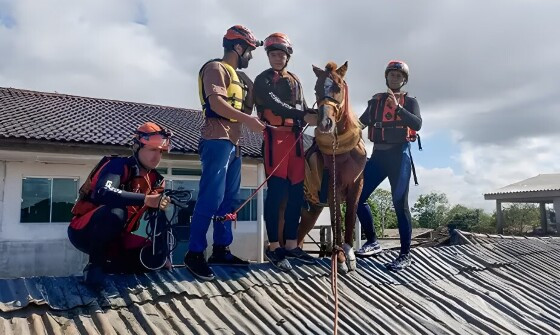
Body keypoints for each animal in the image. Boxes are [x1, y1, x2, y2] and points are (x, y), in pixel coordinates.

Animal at [298, 61, 368, 274]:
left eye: (338, 87)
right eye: (316, 89)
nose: (324, 123)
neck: (343, 150)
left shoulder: (357, 185)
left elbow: (350, 216)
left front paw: (350, 255)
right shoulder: (332, 187)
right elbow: (336, 219)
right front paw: (340, 257)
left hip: (311, 210)